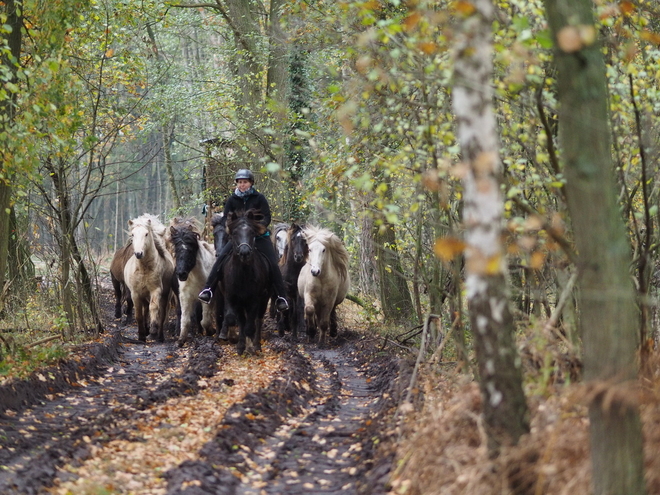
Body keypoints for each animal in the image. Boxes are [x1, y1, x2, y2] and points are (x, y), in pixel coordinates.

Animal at [220, 210, 272, 356]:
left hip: (264, 299)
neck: (243, 275)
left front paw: (250, 347)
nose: (244, 253)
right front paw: (240, 345)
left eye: (252, 233)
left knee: (258, 320)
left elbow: (250, 325)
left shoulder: (254, 300)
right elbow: (237, 320)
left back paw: (256, 345)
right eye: (234, 233)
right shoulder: (234, 298)